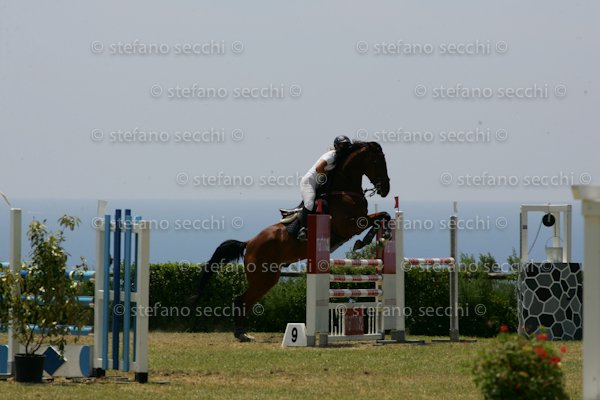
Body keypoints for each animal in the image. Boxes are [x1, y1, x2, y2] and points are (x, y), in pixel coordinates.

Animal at [194, 141, 391, 342]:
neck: (345, 191)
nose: (386, 189)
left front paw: (380, 236)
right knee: (241, 300)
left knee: (245, 301)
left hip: (267, 278)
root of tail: (249, 243)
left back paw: (243, 333)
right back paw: (241, 334)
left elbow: (383, 215)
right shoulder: (350, 225)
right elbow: (376, 218)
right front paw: (367, 239)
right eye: (378, 162)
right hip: (264, 277)